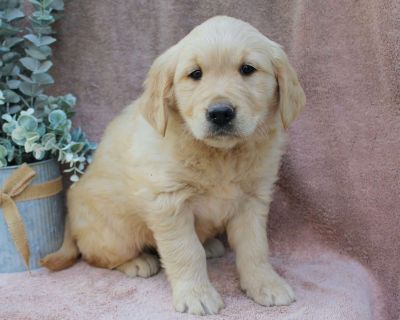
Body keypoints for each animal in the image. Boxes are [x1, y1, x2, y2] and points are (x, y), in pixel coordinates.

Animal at [41, 15, 304, 316]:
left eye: (247, 69)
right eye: (195, 74)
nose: (220, 113)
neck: (221, 155)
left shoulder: (253, 198)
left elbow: (255, 247)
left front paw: (265, 284)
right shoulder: (169, 201)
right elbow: (186, 251)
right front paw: (197, 294)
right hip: (115, 234)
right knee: (96, 256)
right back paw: (137, 262)